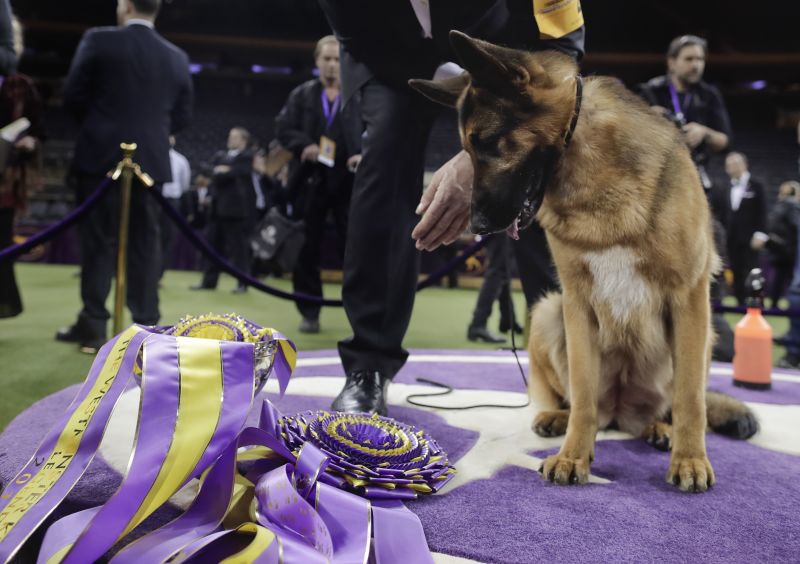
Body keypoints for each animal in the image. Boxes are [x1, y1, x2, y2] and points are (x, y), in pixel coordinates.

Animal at [412, 30, 756, 492]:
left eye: (488, 143)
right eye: (467, 149)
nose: (478, 225)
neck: (590, 167)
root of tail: (623, 414)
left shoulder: (689, 298)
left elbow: (690, 400)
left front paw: (690, 460)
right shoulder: (577, 303)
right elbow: (583, 393)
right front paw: (573, 456)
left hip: (700, 336)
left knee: (676, 400)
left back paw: (661, 429)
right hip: (548, 311)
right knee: (582, 402)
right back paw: (558, 418)